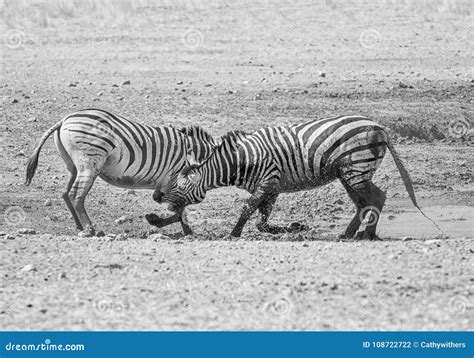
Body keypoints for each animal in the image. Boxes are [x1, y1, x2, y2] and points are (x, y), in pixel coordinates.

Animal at [25, 109, 218, 238]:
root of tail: (64, 120)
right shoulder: (176, 181)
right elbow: (179, 208)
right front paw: (183, 229)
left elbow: (176, 208)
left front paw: (181, 228)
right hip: (89, 162)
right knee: (76, 195)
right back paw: (90, 230)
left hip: (73, 165)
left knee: (66, 193)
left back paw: (80, 227)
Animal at [153, 114, 436, 238]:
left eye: (175, 180)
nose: (155, 195)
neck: (239, 160)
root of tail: (379, 127)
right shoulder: (272, 188)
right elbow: (262, 221)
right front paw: (291, 227)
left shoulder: (267, 181)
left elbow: (247, 210)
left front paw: (233, 234)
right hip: (349, 172)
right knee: (362, 202)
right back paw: (349, 234)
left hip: (356, 167)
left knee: (376, 197)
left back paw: (366, 235)